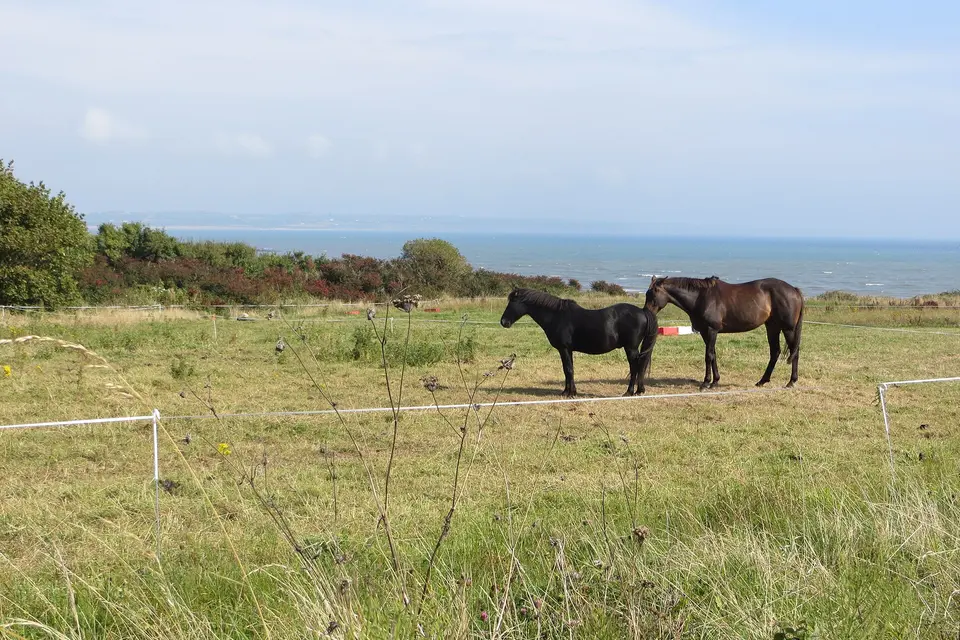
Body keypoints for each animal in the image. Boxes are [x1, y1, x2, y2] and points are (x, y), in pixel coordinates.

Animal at [499, 288, 658, 397]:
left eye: (513, 302)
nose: (503, 322)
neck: (557, 316)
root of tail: (642, 312)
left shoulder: (564, 349)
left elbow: (568, 370)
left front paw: (568, 393)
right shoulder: (567, 350)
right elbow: (568, 370)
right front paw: (569, 391)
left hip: (631, 348)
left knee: (635, 367)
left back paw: (629, 392)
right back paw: (639, 391)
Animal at [644, 276, 804, 390]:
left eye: (654, 293)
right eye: (647, 294)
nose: (647, 313)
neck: (701, 297)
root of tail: (794, 290)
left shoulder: (711, 330)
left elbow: (708, 356)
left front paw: (705, 383)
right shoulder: (705, 332)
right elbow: (713, 355)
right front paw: (715, 381)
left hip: (788, 329)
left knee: (794, 351)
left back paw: (791, 381)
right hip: (772, 327)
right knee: (775, 352)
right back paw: (762, 381)